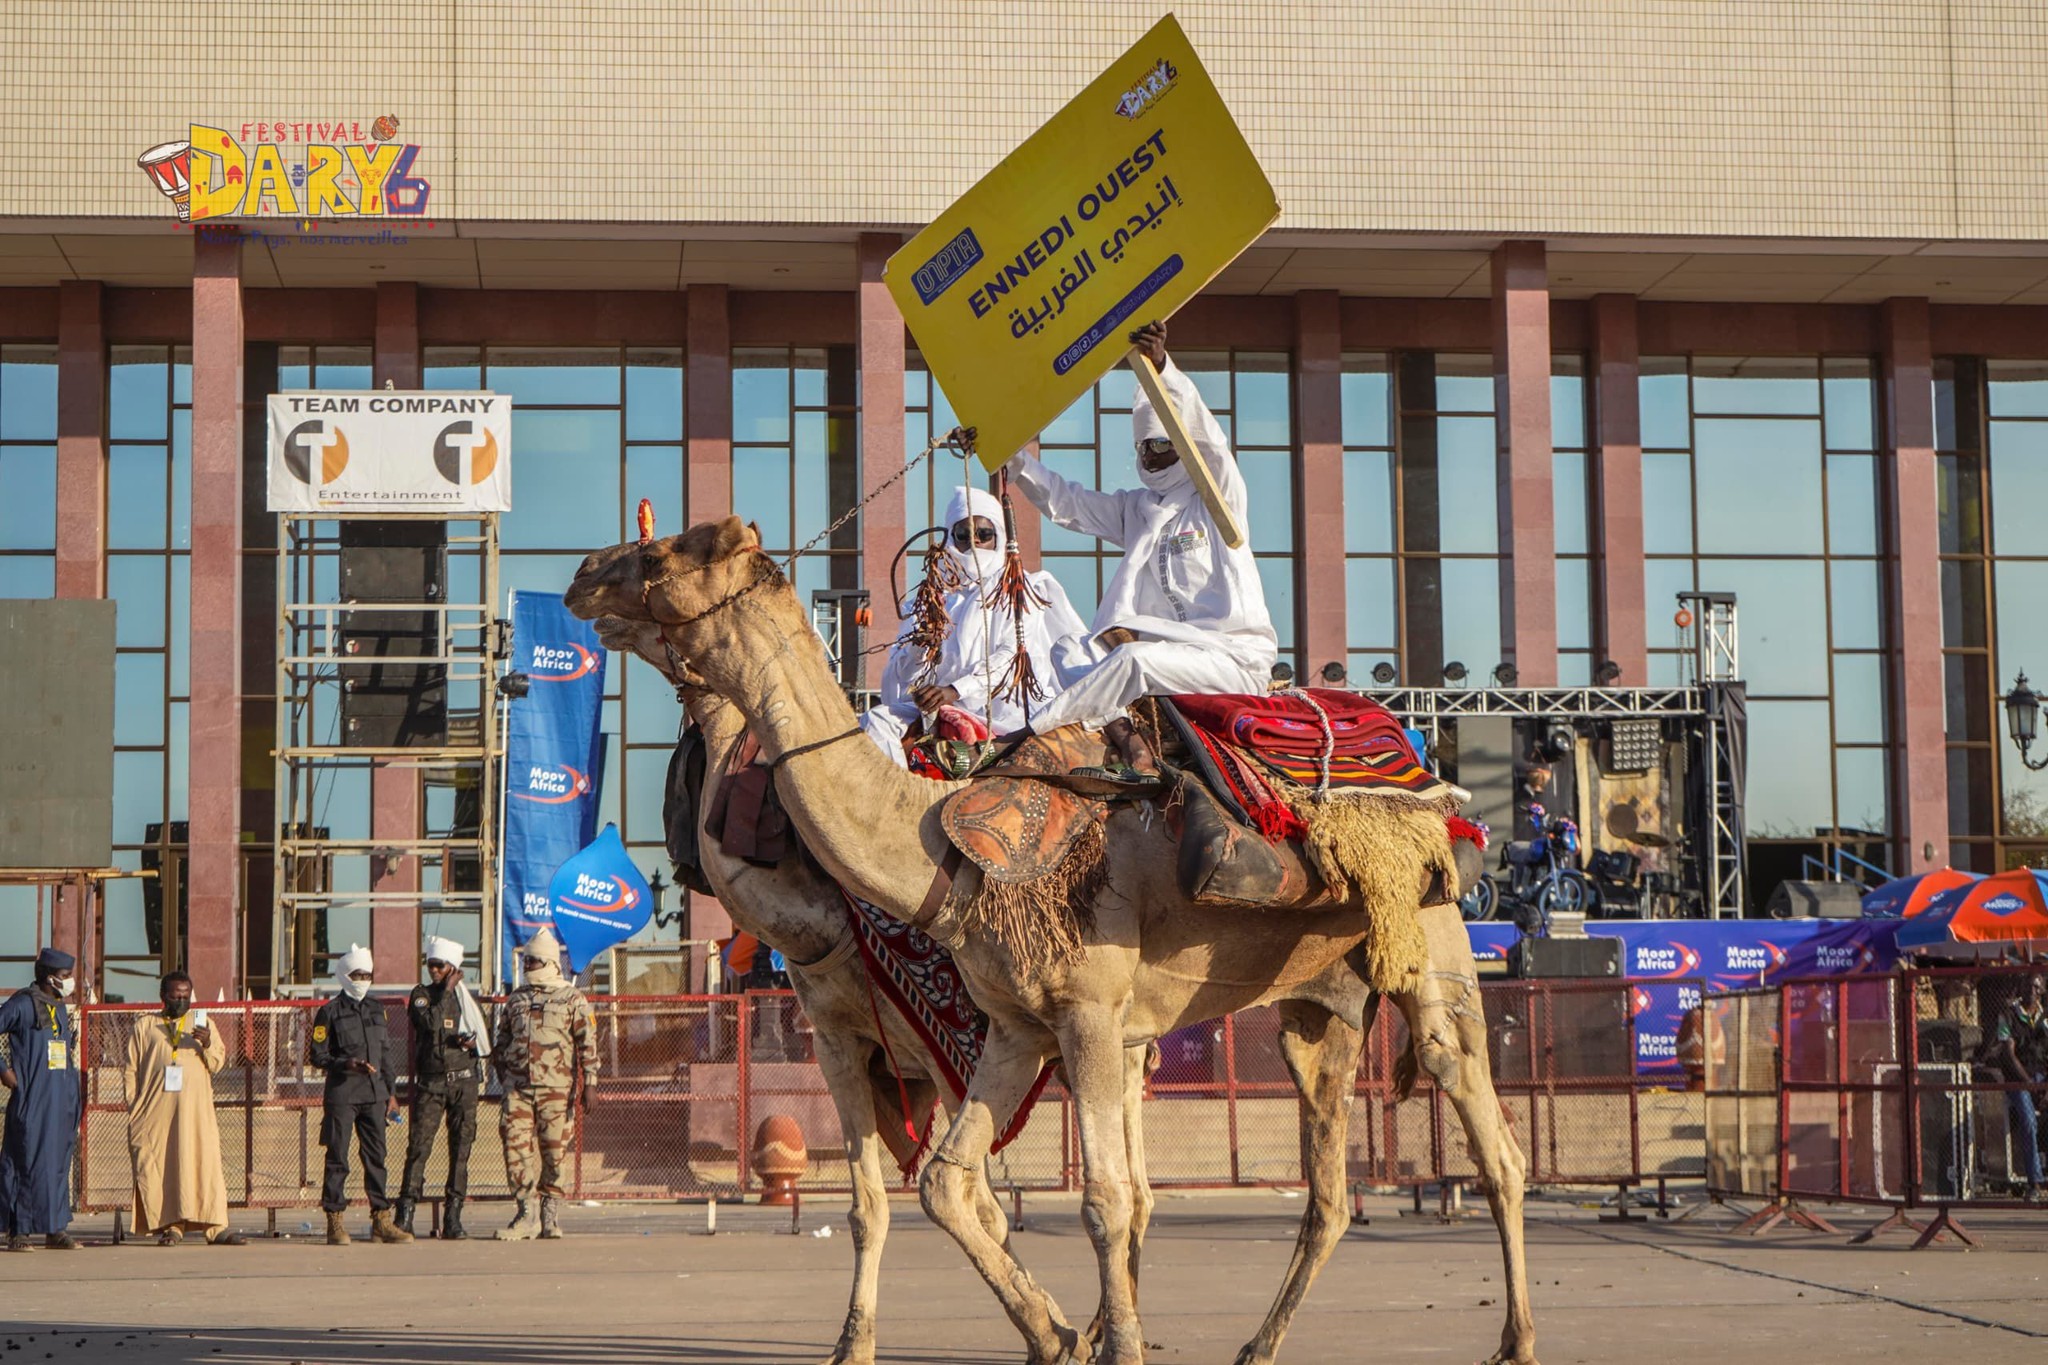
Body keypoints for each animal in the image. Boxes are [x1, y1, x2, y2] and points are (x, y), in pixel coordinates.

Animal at [565, 519, 1540, 1365]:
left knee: (1490, 1136)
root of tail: (1433, 778)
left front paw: (1105, 1342)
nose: (581, 573)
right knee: (1329, 1186)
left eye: (660, 552)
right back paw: (1257, 1343)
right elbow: (938, 1185)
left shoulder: (1081, 1015)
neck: (929, 849)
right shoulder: (1004, 1026)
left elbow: (1103, 1199)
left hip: (1434, 948)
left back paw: (1516, 1339)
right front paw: (1048, 1333)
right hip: (1320, 1007)